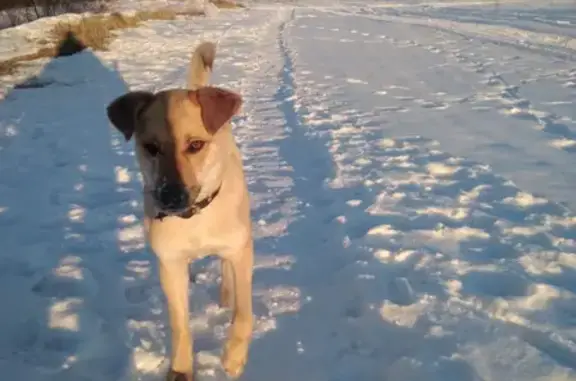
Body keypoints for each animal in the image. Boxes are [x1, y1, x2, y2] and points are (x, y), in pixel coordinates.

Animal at [106, 41, 254, 380]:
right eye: (151, 147)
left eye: (196, 145)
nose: (170, 197)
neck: (195, 218)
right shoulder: (170, 264)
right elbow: (179, 324)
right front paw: (181, 369)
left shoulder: (241, 251)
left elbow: (244, 315)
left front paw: (233, 357)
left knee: (227, 268)